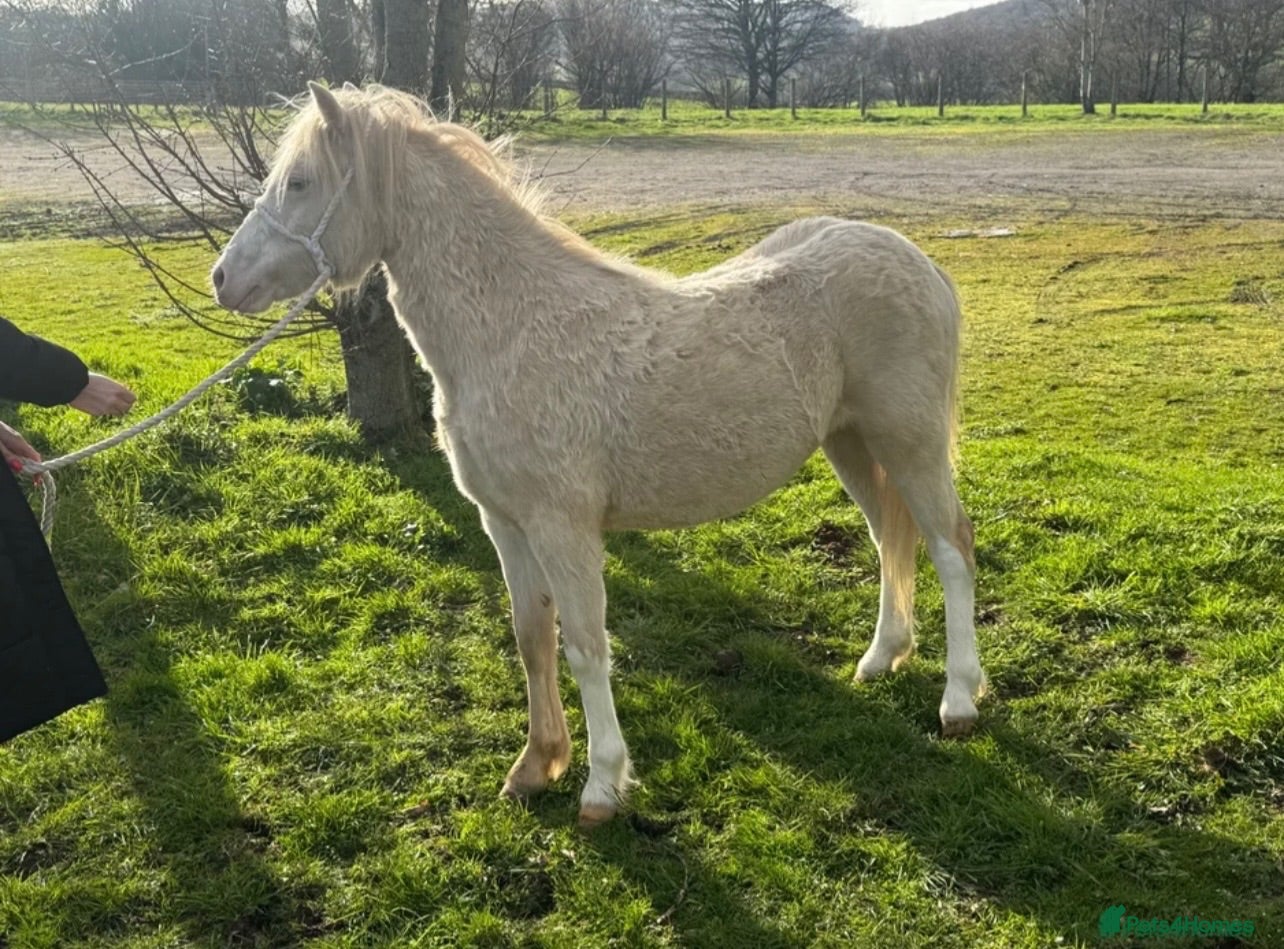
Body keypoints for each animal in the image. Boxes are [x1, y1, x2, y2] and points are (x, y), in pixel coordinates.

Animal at [211, 82, 986, 827]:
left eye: (301, 182)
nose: (224, 277)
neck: (513, 329)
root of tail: (919, 262)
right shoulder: (505, 523)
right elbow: (532, 638)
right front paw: (535, 767)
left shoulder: (564, 526)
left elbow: (585, 645)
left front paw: (601, 786)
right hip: (850, 443)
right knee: (891, 538)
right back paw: (881, 658)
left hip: (910, 443)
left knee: (950, 547)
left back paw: (958, 701)